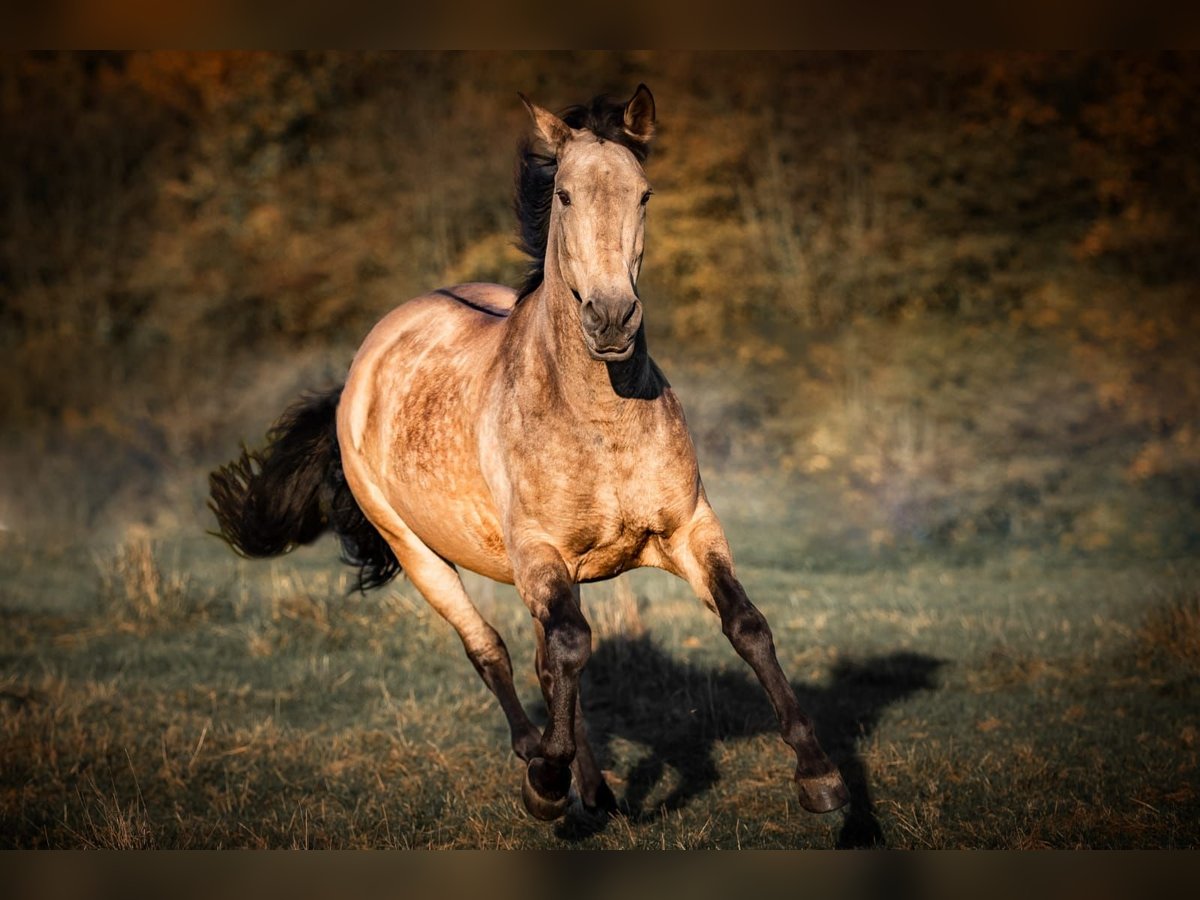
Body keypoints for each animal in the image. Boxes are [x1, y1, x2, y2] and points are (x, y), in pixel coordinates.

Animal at [211, 86, 849, 825]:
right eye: (565, 195)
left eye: (644, 194)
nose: (611, 319)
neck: (597, 419)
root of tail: (363, 365)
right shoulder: (541, 550)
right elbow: (569, 649)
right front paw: (544, 781)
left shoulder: (689, 528)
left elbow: (745, 625)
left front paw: (820, 776)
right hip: (417, 551)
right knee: (491, 650)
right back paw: (542, 763)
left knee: (547, 661)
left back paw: (591, 787)